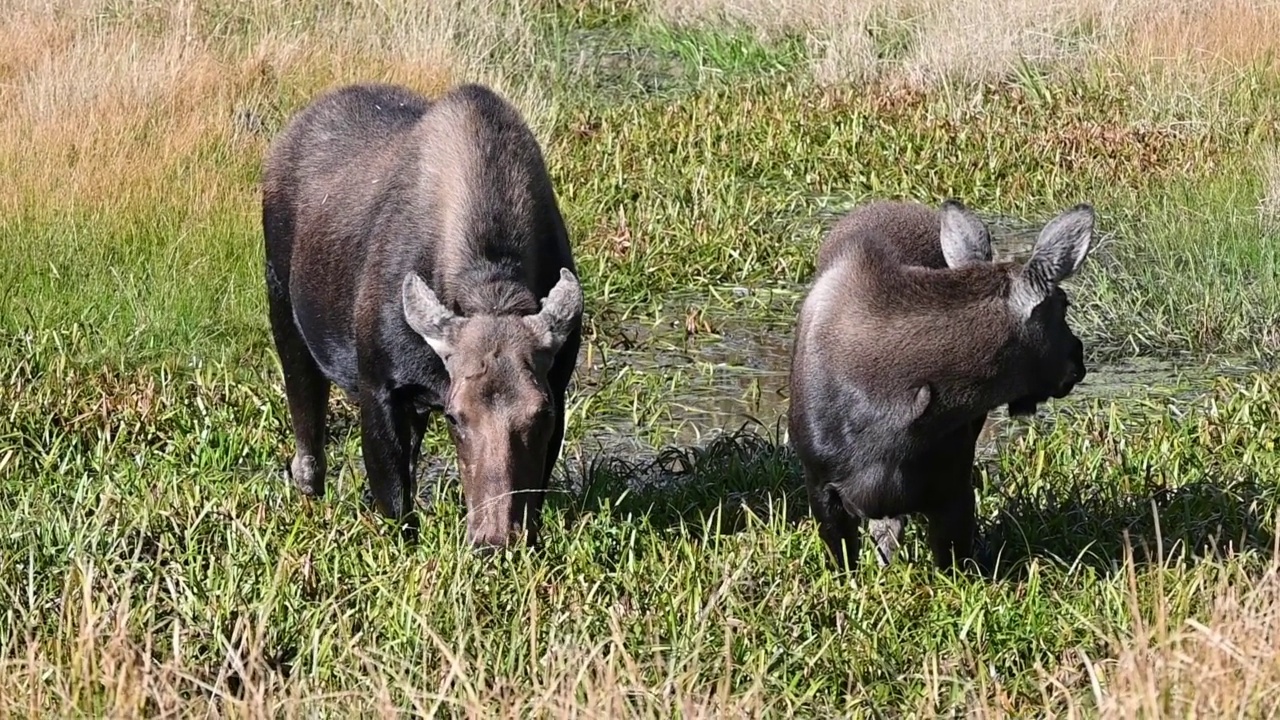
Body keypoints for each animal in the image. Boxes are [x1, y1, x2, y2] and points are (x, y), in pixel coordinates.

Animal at [262, 81, 583, 545]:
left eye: (542, 414)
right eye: (455, 416)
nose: (494, 540)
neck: (492, 282)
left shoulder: (557, 387)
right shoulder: (380, 387)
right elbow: (396, 506)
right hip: (283, 313)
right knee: (308, 440)